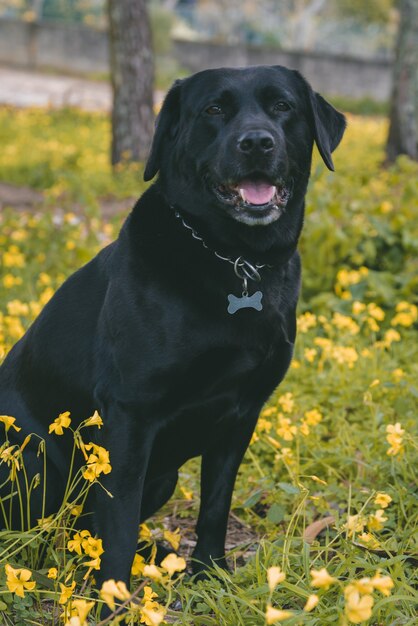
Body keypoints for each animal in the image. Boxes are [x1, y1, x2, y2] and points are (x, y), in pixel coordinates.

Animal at [0, 66, 346, 588]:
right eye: (214, 109)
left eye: (283, 106)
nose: (257, 142)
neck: (238, 260)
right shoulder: (130, 414)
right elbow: (119, 522)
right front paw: (113, 595)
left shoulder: (242, 413)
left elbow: (215, 505)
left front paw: (208, 572)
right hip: (31, 458)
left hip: (159, 478)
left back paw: (162, 556)